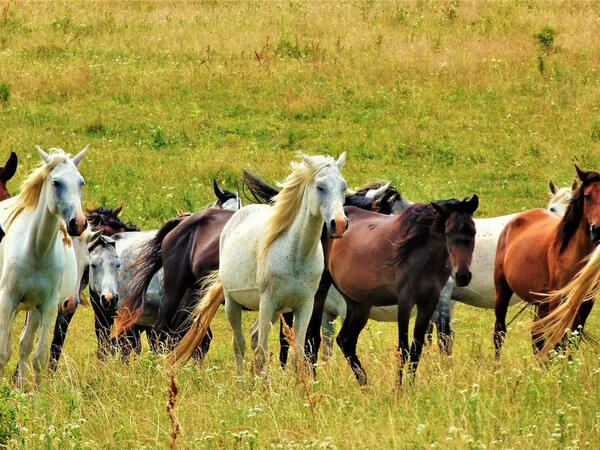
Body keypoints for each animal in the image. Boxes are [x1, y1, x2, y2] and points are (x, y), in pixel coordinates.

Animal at [0, 147, 87, 386]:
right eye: (56, 182)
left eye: (81, 182)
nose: (78, 223)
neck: (36, 250)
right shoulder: (7, 300)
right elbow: (3, 352)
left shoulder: (48, 306)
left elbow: (38, 356)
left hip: (33, 309)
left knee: (24, 344)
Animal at [168, 153, 346, 374]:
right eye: (320, 187)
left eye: (343, 187)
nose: (339, 224)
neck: (295, 254)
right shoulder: (267, 302)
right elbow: (262, 353)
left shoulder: (304, 305)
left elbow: (297, 356)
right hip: (234, 304)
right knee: (239, 344)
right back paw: (242, 381)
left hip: (275, 311)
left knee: (252, 337)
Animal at [324, 198, 478, 386]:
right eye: (448, 232)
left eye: (473, 231)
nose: (463, 276)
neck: (422, 254)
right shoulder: (405, 300)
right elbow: (403, 348)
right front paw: (398, 388)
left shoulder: (429, 301)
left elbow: (417, 347)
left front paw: (410, 385)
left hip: (358, 303)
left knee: (346, 340)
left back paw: (365, 384)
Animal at [492, 164, 600, 356]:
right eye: (587, 196)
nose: (597, 229)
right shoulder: (557, 300)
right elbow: (558, 341)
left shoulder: (586, 303)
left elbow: (572, 340)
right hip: (502, 292)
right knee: (500, 332)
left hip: (541, 303)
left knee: (537, 338)